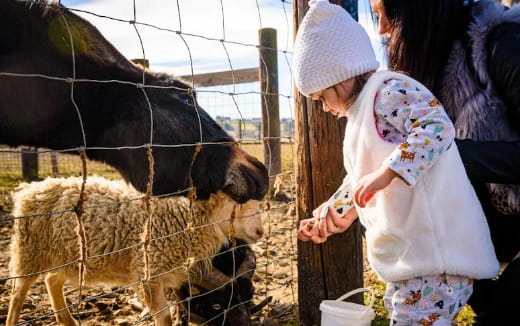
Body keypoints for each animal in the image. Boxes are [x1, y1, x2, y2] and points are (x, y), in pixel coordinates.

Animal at [6, 177, 262, 326]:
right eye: (218, 306)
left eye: (249, 297)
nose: (260, 231)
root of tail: (31, 188)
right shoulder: (148, 272)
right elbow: (164, 316)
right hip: (29, 250)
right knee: (18, 292)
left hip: (67, 256)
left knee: (51, 280)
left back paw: (67, 320)